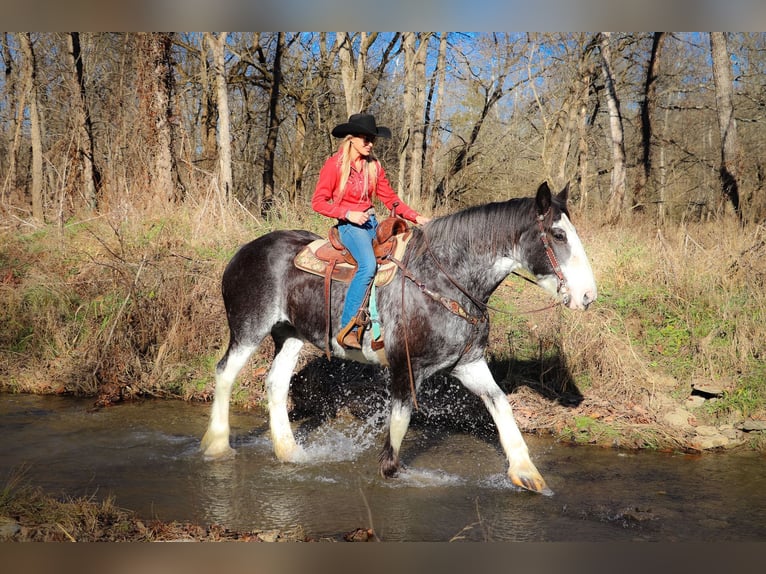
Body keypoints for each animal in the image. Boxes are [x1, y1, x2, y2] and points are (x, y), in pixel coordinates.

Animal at [201, 183, 596, 496]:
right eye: (558, 236)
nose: (588, 296)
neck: (444, 280)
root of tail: (244, 250)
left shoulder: (468, 364)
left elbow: (500, 405)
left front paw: (526, 474)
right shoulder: (407, 367)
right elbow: (399, 427)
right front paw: (405, 476)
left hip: (290, 335)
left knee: (276, 383)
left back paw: (290, 452)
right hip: (249, 328)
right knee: (225, 373)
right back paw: (217, 444)